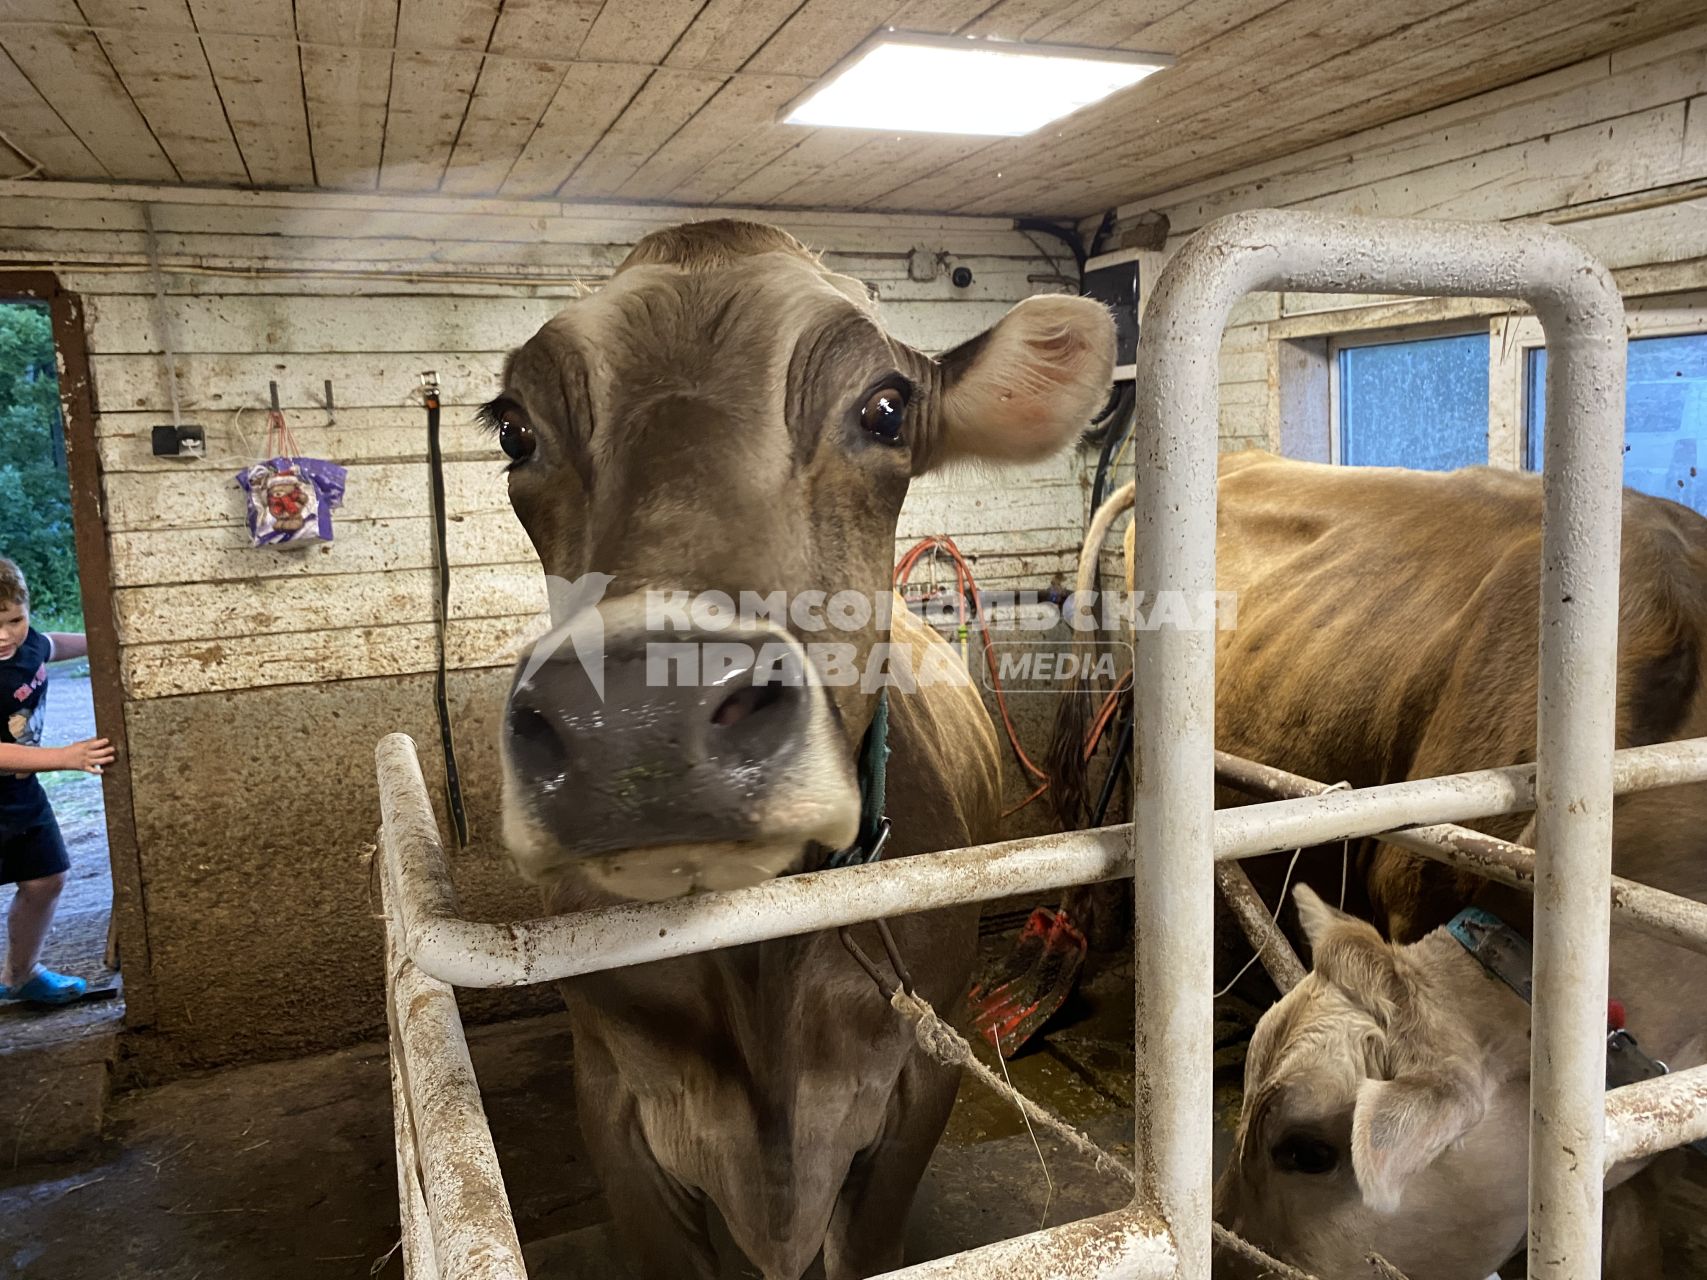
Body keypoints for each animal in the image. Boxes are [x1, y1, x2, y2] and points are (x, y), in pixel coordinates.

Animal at [484, 223, 1119, 1280]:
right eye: (513, 431)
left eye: (887, 407)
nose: (640, 721)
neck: (761, 973)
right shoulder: (613, 1104)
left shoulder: (913, 1084)